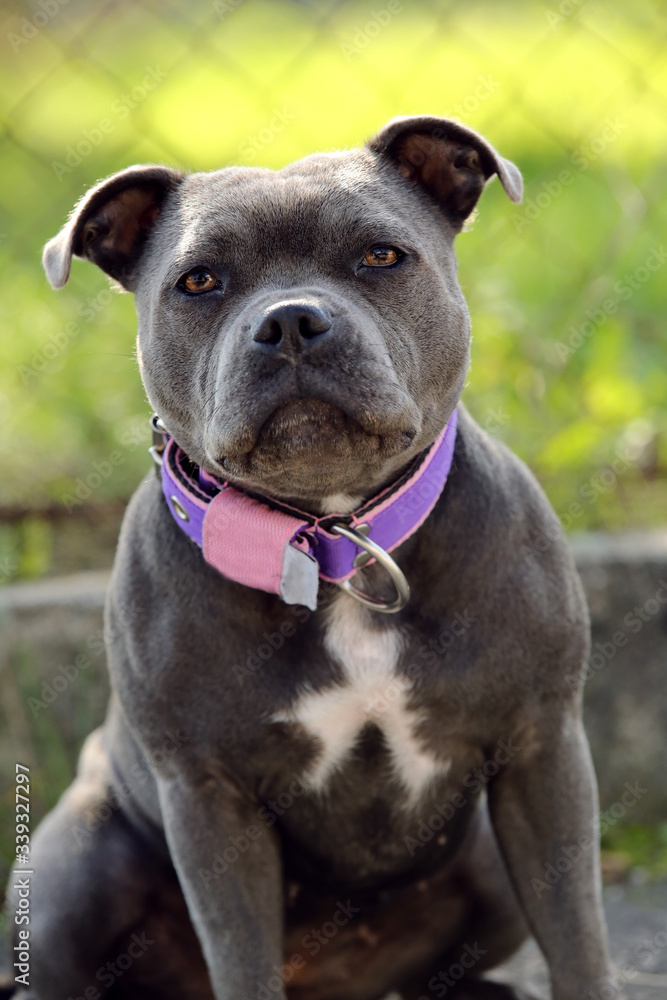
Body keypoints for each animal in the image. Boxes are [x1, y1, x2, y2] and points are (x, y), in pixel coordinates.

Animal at [7, 119, 620, 1000]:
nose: (291, 320)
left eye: (381, 255)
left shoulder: (542, 751)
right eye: (198, 280)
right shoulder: (209, 800)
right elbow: (242, 960)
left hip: (487, 866)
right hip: (80, 861)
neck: (335, 537)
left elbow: (576, 940)